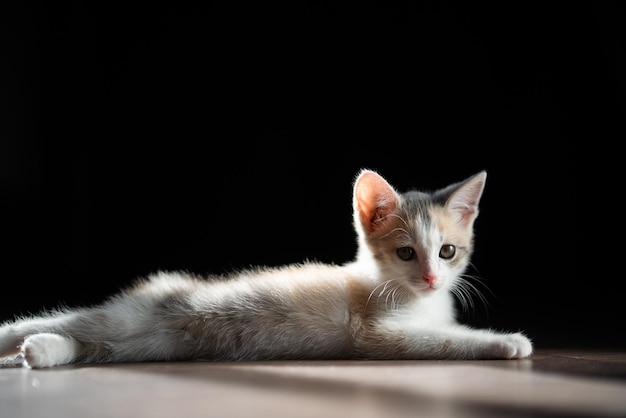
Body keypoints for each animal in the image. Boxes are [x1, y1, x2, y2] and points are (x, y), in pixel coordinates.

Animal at [0, 168, 532, 368]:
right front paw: (507, 341)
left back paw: (39, 352)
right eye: (406, 254)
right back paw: (23, 342)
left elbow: (445, 330)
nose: (429, 278)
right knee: (62, 322)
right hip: (130, 318)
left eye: (447, 251)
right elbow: (444, 340)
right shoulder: (377, 332)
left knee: (90, 346)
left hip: (149, 344)